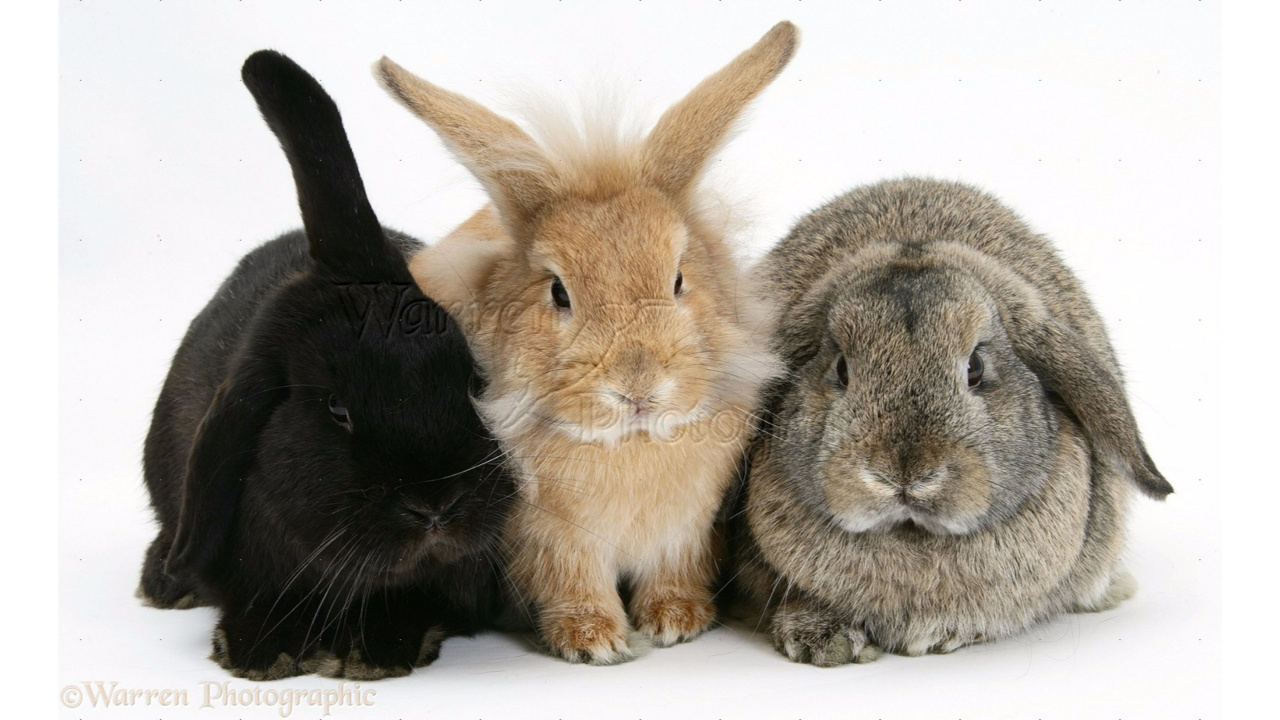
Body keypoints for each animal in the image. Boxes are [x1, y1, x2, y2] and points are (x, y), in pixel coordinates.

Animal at [136, 50, 514, 681]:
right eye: (336, 407)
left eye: (472, 382)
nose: (435, 507)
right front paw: (260, 650)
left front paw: (376, 648)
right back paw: (162, 581)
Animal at [374, 22, 797, 663]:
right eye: (558, 292)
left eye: (678, 279)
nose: (638, 387)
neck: (630, 444)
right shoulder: (552, 540)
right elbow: (573, 582)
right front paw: (592, 640)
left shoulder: (685, 532)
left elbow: (674, 572)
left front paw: (677, 621)